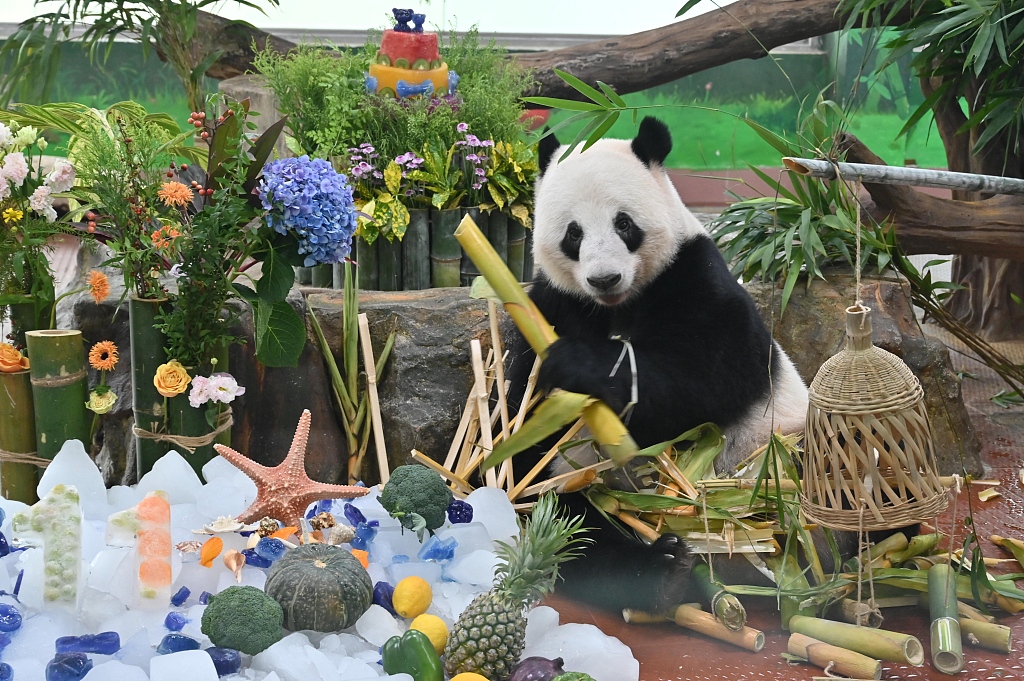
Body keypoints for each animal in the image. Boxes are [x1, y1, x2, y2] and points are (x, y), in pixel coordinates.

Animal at [507, 116, 811, 610]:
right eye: (573, 233)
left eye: (624, 223)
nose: (604, 278)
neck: (615, 307)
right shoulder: (553, 304)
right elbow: (523, 412)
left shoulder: (694, 276)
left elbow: (704, 380)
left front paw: (580, 366)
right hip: (583, 485)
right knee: (567, 522)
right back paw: (659, 570)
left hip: (774, 457)